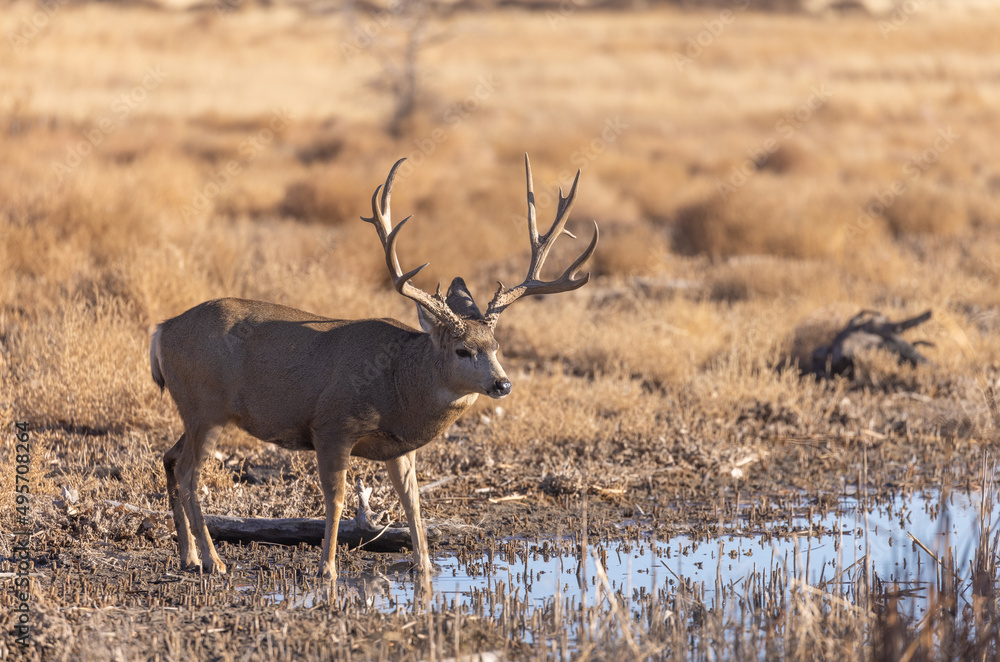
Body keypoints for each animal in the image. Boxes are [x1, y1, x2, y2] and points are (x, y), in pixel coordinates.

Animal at [149, 155, 599, 580]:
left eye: (496, 345)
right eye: (462, 350)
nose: (502, 384)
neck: (399, 382)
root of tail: (161, 330)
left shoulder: (399, 446)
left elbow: (413, 500)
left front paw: (425, 565)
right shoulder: (331, 425)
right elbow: (336, 498)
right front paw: (327, 568)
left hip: (196, 412)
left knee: (169, 458)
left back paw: (189, 556)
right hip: (206, 408)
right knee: (189, 474)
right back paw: (214, 561)